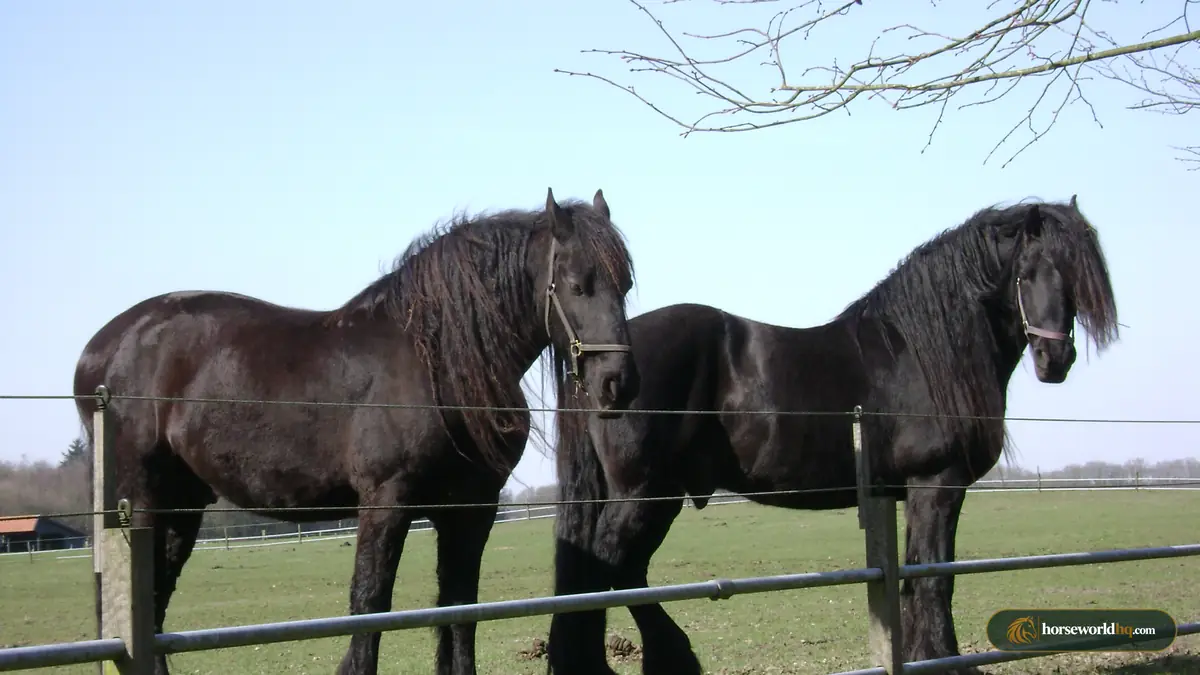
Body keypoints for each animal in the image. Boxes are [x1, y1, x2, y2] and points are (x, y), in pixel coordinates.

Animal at [72, 187, 642, 675]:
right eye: (578, 284)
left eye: (626, 285)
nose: (618, 383)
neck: (437, 362)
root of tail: (102, 347)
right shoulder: (387, 501)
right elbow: (371, 601)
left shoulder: (472, 508)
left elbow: (460, 605)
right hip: (142, 499)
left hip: (183, 503)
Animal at [546, 196, 1119, 675]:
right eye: (1026, 273)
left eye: (1072, 276)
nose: (1055, 358)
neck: (920, 353)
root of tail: (603, 363)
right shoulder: (937, 483)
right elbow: (935, 577)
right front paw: (949, 663)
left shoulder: (916, 491)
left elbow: (915, 576)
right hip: (644, 492)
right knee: (609, 568)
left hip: (656, 496)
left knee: (619, 570)